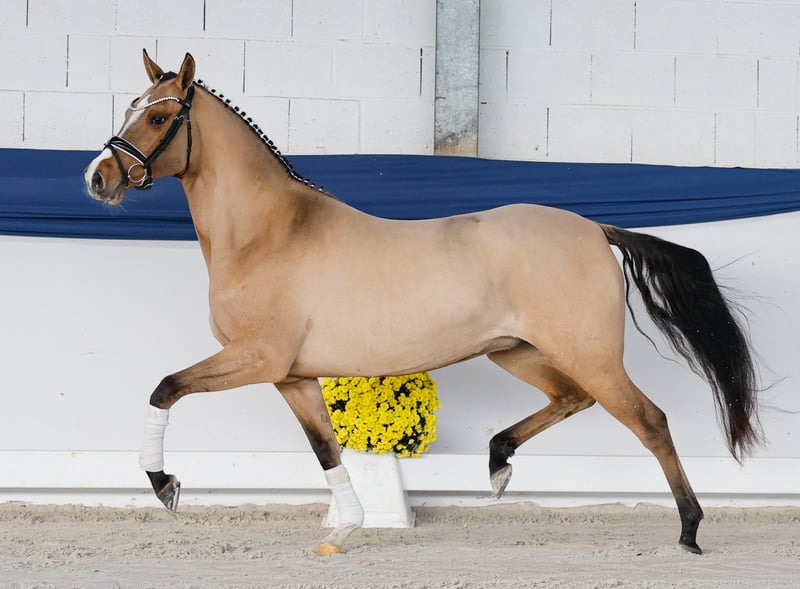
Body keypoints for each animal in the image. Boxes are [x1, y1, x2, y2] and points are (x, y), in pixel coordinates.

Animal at [84, 51, 761, 556]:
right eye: (129, 108)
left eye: (159, 117)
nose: (98, 178)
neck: (269, 232)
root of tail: (595, 229)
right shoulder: (292, 376)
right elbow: (326, 450)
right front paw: (344, 530)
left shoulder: (256, 359)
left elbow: (165, 388)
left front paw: (165, 486)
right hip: (517, 351)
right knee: (573, 398)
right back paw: (497, 464)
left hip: (588, 353)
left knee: (649, 420)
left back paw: (689, 530)